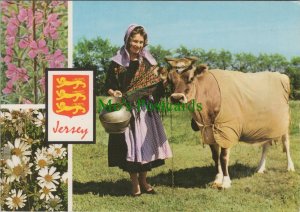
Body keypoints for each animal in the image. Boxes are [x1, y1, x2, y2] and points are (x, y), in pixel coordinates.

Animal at [159, 56, 296, 189]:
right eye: (170, 79)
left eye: (191, 78)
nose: (176, 98)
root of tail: (282, 76)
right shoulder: (209, 131)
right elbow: (215, 156)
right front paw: (217, 179)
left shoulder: (226, 129)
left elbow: (223, 157)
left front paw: (225, 182)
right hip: (267, 126)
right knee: (266, 145)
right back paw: (260, 168)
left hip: (285, 122)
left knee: (286, 143)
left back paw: (290, 167)